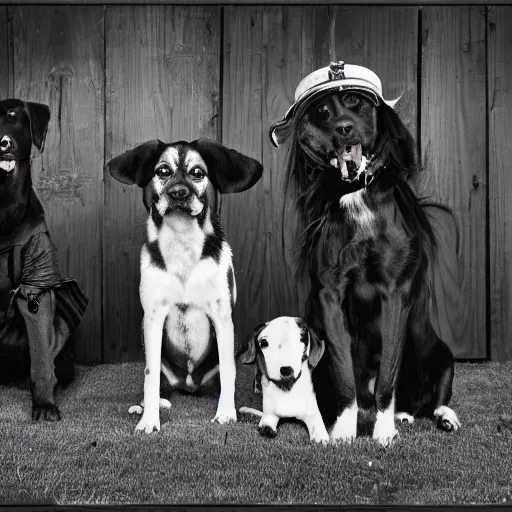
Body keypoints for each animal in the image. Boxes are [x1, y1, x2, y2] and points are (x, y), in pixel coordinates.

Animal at [239, 316, 328, 444]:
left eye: (301, 338)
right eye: (264, 342)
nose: (286, 370)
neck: (287, 388)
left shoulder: (312, 413)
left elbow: (319, 429)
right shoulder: (270, 415)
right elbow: (266, 424)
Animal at [272, 63, 464, 448]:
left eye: (354, 102)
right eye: (322, 110)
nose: (343, 128)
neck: (355, 191)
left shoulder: (395, 293)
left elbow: (389, 374)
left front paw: (383, 431)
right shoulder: (329, 294)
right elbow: (344, 373)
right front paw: (344, 430)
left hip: (440, 353)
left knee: (433, 398)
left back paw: (435, 417)